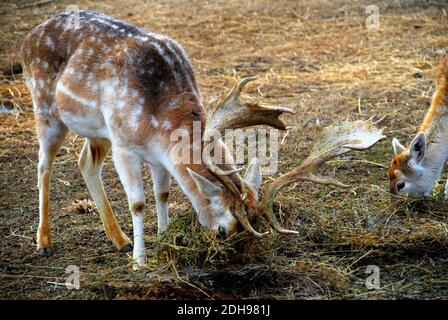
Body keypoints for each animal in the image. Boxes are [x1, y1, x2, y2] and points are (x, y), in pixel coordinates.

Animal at [21, 10, 384, 268]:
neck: (159, 120)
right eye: (224, 230)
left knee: (85, 162)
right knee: (42, 167)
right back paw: (44, 243)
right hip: (45, 108)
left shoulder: (157, 154)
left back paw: (118, 239)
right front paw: (140, 261)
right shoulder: (125, 144)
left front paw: (164, 236)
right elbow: (138, 203)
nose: (229, 255)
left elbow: (163, 193)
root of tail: (30, 35)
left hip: (96, 130)